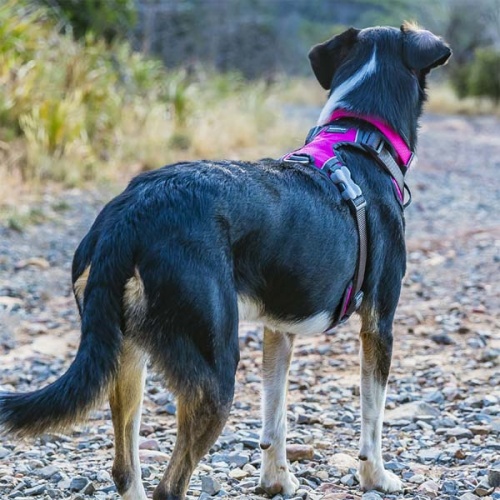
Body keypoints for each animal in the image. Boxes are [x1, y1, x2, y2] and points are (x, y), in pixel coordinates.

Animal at [0, 22, 452, 500]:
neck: (361, 141)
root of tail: (129, 216)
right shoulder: (379, 323)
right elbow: (372, 415)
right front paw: (376, 477)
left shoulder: (279, 331)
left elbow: (275, 416)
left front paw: (276, 480)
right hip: (215, 370)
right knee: (170, 486)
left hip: (123, 352)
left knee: (125, 469)